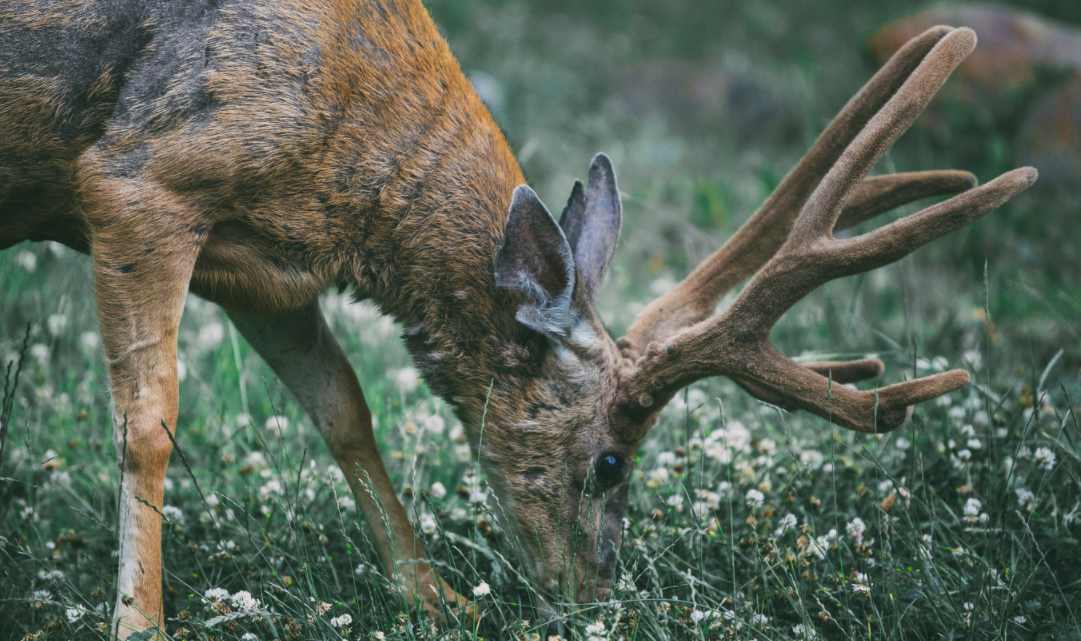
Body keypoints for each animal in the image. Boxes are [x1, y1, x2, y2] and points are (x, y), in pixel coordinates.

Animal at [0, 2, 1037, 635]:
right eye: (610, 460)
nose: (591, 597)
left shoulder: (263, 268)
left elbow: (344, 406)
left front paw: (438, 598)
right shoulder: (139, 181)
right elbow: (148, 425)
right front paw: (140, 620)